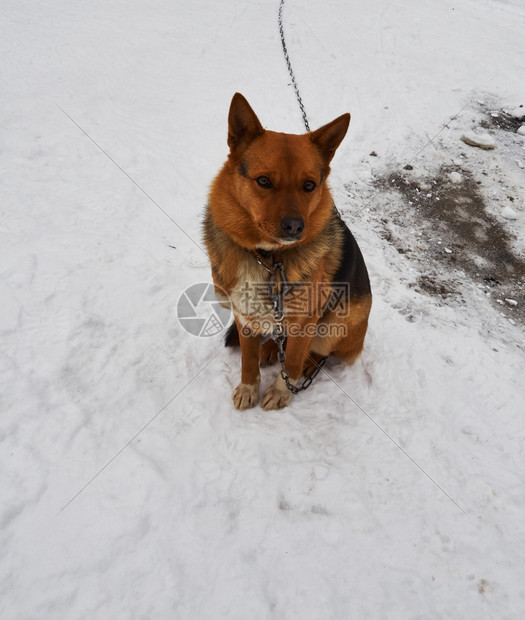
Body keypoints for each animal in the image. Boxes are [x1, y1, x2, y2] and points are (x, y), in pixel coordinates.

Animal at [203, 94, 370, 410]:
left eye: (309, 185)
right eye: (264, 181)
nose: (294, 226)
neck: (269, 260)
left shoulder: (306, 321)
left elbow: (291, 361)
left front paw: (282, 391)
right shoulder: (244, 314)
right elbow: (247, 360)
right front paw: (249, 388)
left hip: (334, 324)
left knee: (316, 353)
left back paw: (305, 365)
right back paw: (269, 347)